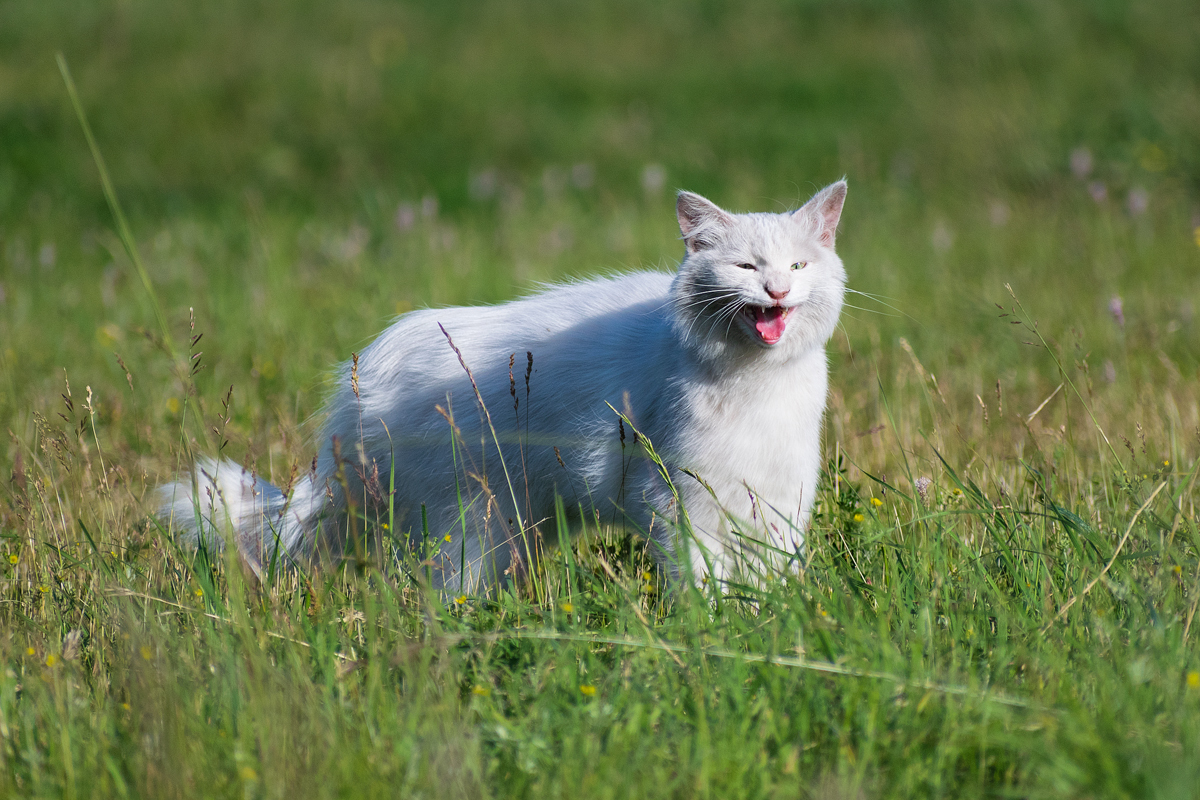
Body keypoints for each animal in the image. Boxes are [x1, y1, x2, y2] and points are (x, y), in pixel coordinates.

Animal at [159, 181, 849, 594]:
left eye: (797, 265)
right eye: (745, 267)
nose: (778, 291)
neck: (755, 384)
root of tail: (366, 377)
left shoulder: (779, 502)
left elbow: (771, 581)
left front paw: (769, 631)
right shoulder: (684, 504)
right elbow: (707, 585)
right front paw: (718, 638)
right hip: (469, 529)